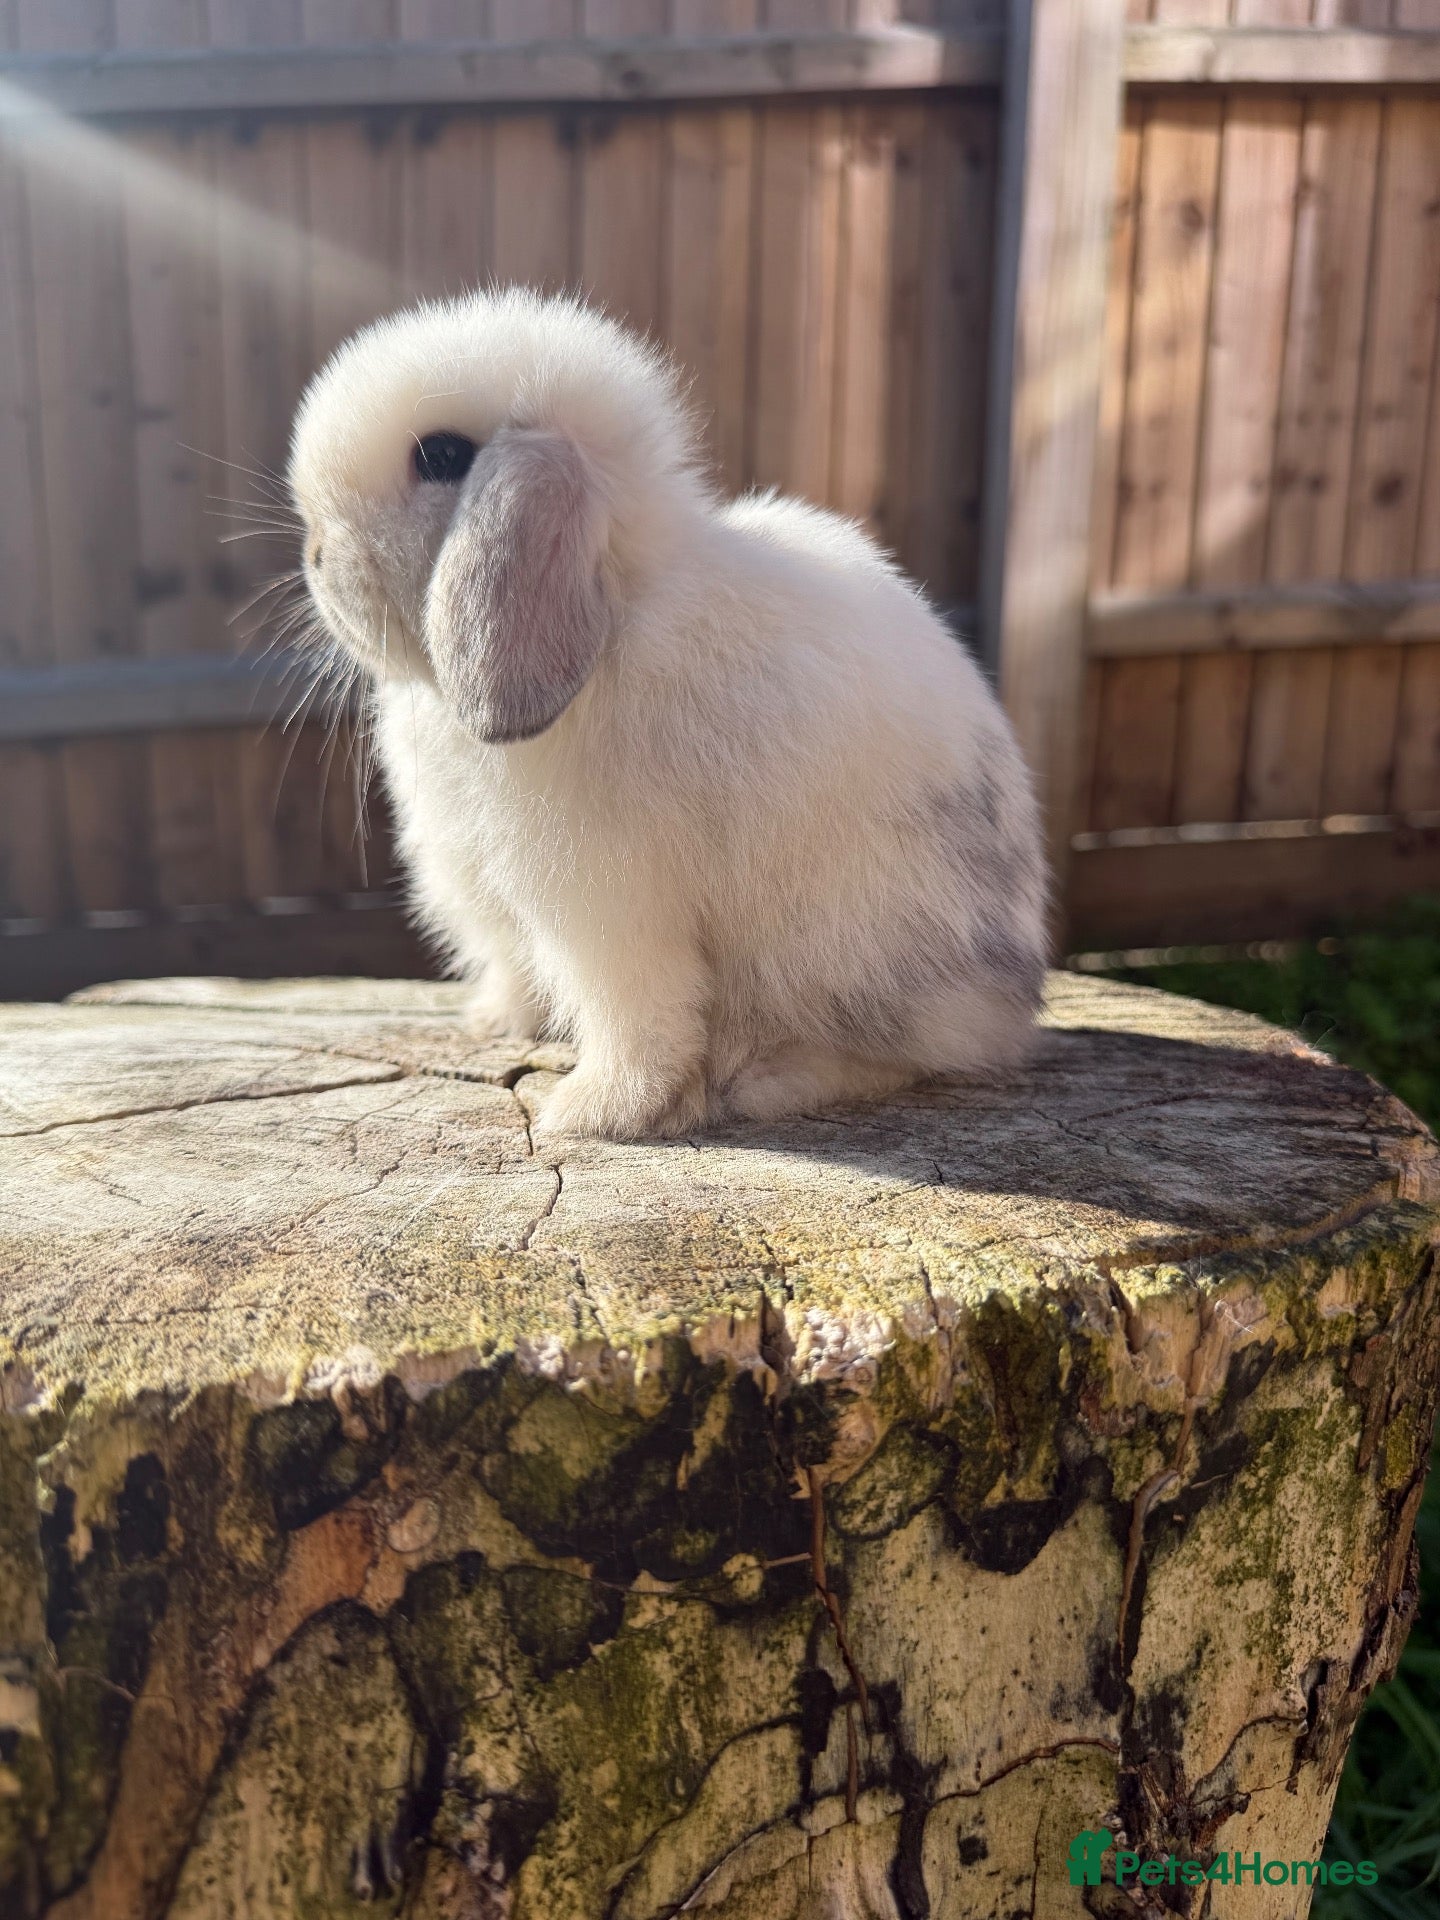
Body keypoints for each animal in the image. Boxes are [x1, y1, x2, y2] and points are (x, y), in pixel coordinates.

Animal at [287, 287, 1049, 1141]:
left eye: (443, 457)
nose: (316, 557)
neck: (619, 603)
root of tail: (1007, 1006)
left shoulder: (608, 904)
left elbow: (639, 1017)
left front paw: (594, 1113)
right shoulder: (498, 896)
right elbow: (520, 969)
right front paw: (499, 1023)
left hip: (840, 946)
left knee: (900, 1054)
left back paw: (767, 1078)